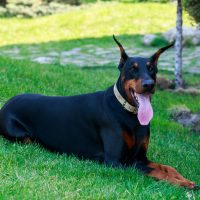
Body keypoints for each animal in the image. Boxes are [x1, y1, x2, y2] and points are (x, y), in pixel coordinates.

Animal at [0, 36, 198, 189]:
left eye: (151, 68)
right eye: (132, 68)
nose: (149, 84)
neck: (128, 113)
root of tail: (7, 102)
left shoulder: (140, 157)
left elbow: (167, 168)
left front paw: (184, 179)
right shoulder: (117, 161)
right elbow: (156, 172)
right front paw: (182, 183)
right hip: (20, 135)